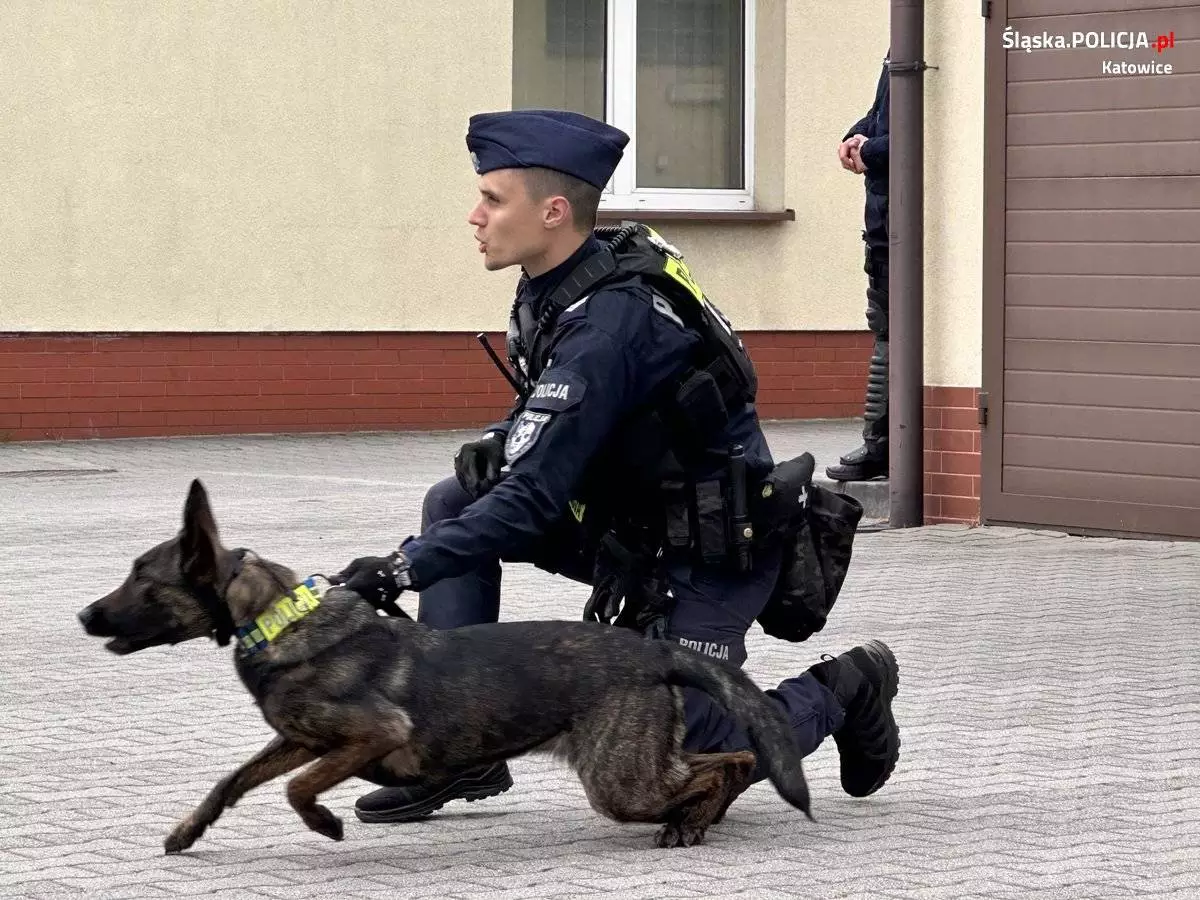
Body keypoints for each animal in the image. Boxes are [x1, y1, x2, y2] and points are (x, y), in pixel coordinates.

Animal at [72, 475, 806, 854]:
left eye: (143, 580)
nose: (83, 616)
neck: (278, 619)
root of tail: (653, 649)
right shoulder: (297, 740)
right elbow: (233, 781)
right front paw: (188, 830)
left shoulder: (366, 738)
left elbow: (297, 789)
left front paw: (324, 823)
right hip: (633, 770)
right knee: (730, 759)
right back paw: (701, 817)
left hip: (619, 782)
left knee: (729, 762)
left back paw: (694, 820)